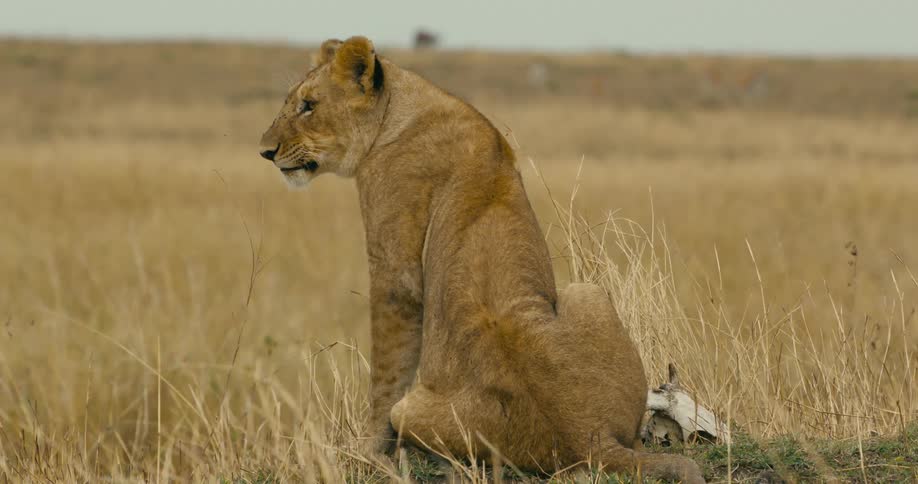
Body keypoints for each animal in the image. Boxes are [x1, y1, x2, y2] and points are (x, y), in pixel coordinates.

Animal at [258, 36, 704, 483]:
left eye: (309, 105)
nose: (265, 151)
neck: (403, 107)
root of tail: (591, 437)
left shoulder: (394, 270)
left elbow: (387, 369)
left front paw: (366, 451)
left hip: (415, 408)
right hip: (589, 292)